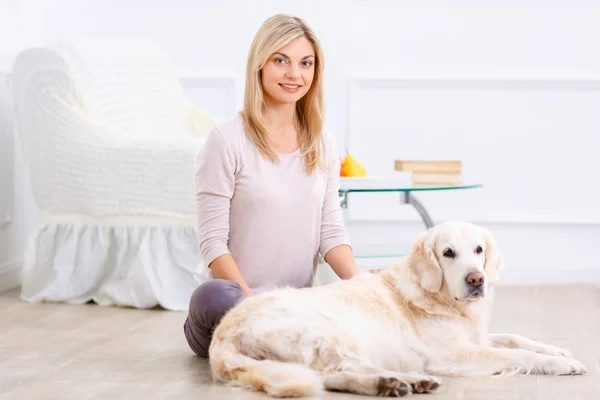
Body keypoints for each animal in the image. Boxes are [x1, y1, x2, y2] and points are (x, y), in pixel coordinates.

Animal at [207, 220, 584, 398]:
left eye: (479, 250)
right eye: (448, 253)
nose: (477, 280)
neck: (441, 300)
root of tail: (223, 335)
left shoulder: (475, 336)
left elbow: (516, 337)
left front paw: (560, 352)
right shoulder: (453, 354)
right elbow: (518, 354)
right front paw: (559, 365)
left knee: (333, 376)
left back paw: (397, 383)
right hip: (330, 332)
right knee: (338, 371)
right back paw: (401, 381)